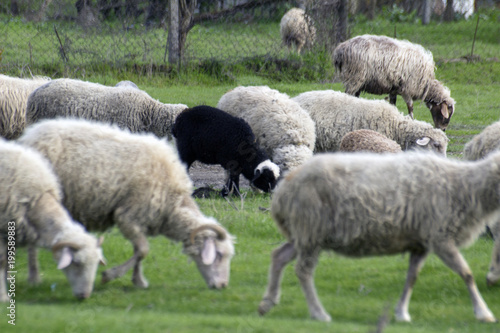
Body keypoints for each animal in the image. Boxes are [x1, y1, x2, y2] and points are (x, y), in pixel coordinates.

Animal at [0, 137, 104, 300]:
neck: (35, 201)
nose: (84, 296)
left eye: (96, 264)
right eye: (76, 263)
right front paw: (3, 296)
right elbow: (2, 262)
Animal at [19, 117, 236, 288]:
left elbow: (139, 251)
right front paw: (110, 276)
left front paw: (138, 280)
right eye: (219, 255)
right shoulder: (128, 216)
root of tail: (29, 136)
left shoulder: (140, 221)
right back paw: (34, 277)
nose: (222, 285)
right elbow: (143, 250)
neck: (172, 204)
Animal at [258, 151, 500, 322]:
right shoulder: (440, 237)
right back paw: (319, 313)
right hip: (311, 229)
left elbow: (412, 277)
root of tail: (282, 191)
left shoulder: (421, 242)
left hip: (304, 233)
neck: (464, 187)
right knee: (303, 271)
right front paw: (483, 312)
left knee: (278, 256)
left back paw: (267, 302)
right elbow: (466, 274)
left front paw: (401, 312)